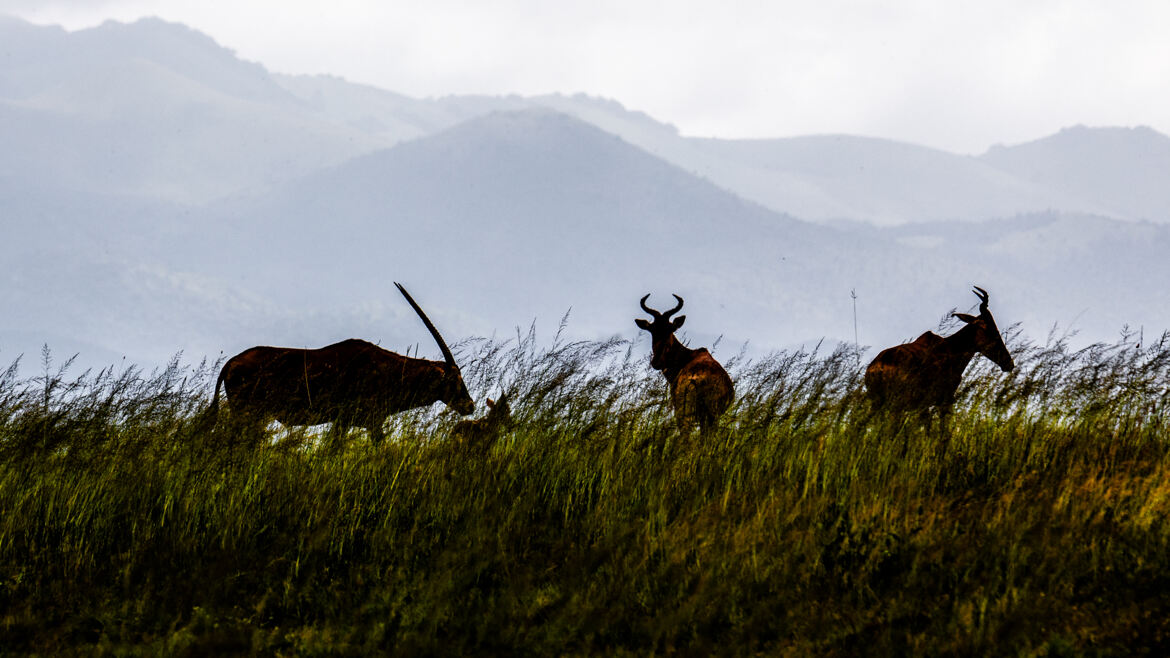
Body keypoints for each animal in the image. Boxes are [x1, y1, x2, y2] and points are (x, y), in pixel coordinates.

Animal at [208, 278, 472, 442]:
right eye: (453, 378)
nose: (470, 405)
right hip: (247, 414)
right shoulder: (349, 421)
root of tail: (232, 362)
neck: (388, 369)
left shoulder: (369, 423)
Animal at [861, 284, 1015, 421]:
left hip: (879, 404)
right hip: (897, 406)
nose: (1009, 363)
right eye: (988, 328)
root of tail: (878, 366)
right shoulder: (945, 401)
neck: (949, 348)